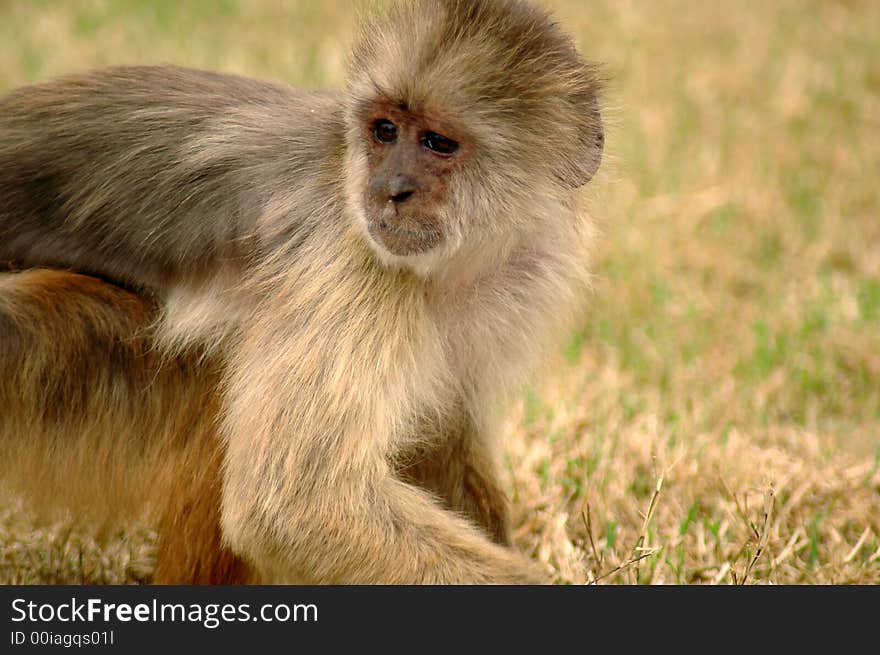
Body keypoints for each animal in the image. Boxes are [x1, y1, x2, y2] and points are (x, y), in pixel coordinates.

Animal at [0, 0, 604, 584]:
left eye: (438, 143)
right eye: (385, 131)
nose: (391, 190)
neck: (453, 264)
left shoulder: (523, 273)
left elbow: (444, 438)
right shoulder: (356, 263)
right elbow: (294, 507)